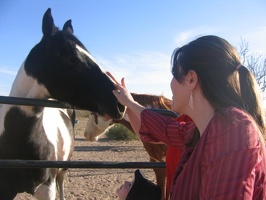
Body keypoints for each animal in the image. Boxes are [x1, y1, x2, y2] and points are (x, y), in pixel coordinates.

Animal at [0, 8, 124, 200]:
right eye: (72, 58)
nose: (119, 104)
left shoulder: (47, 188)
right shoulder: (5, 189)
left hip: (63, 167)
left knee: (61, 181)